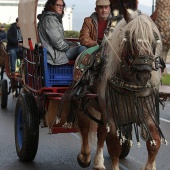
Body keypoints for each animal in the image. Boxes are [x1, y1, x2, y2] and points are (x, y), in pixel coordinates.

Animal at [57, 6, 167, 170]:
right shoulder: (113, 116)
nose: (143, 74)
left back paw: (98, 162)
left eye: (154, 38)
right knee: (84, 128)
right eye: (129, 37)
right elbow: (114, 144)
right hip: (84, 101)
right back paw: (85, 157)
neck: (130, 84)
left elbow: (154, 142)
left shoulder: (146, 114)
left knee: (101, 132)